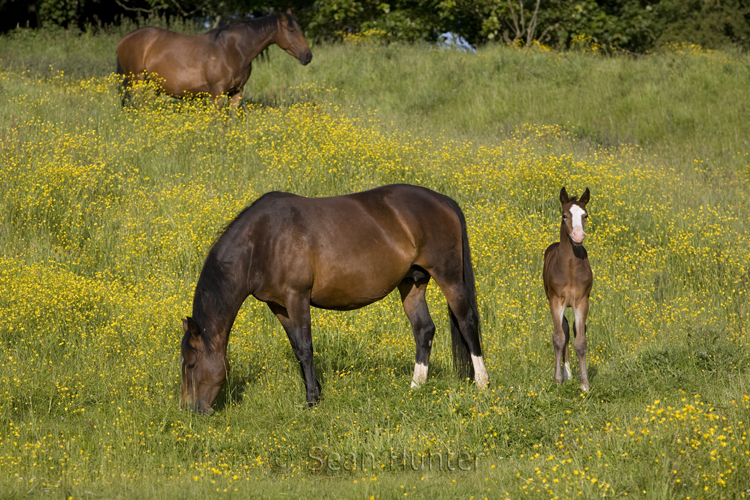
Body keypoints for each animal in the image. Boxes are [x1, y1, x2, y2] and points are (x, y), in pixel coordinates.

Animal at [114, 11, 312, 106]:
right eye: (291, 30)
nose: (308, 56)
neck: (233, 50)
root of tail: (125, 39)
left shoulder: (236, 92)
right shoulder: (216, 92)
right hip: (136, 81)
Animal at [180, 184, 490, 414]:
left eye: (191, 364)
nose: (190, 410)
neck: (263, 241)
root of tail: (442, 200)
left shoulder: (297, 297)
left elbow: (306, 348)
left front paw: (311, 401)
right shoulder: (278, 305)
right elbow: (297, 349)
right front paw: (313, 393)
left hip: (448, 276)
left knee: (467, 321)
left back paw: (482, 383)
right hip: (412, 283)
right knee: (424, 329)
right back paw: (416, 387)